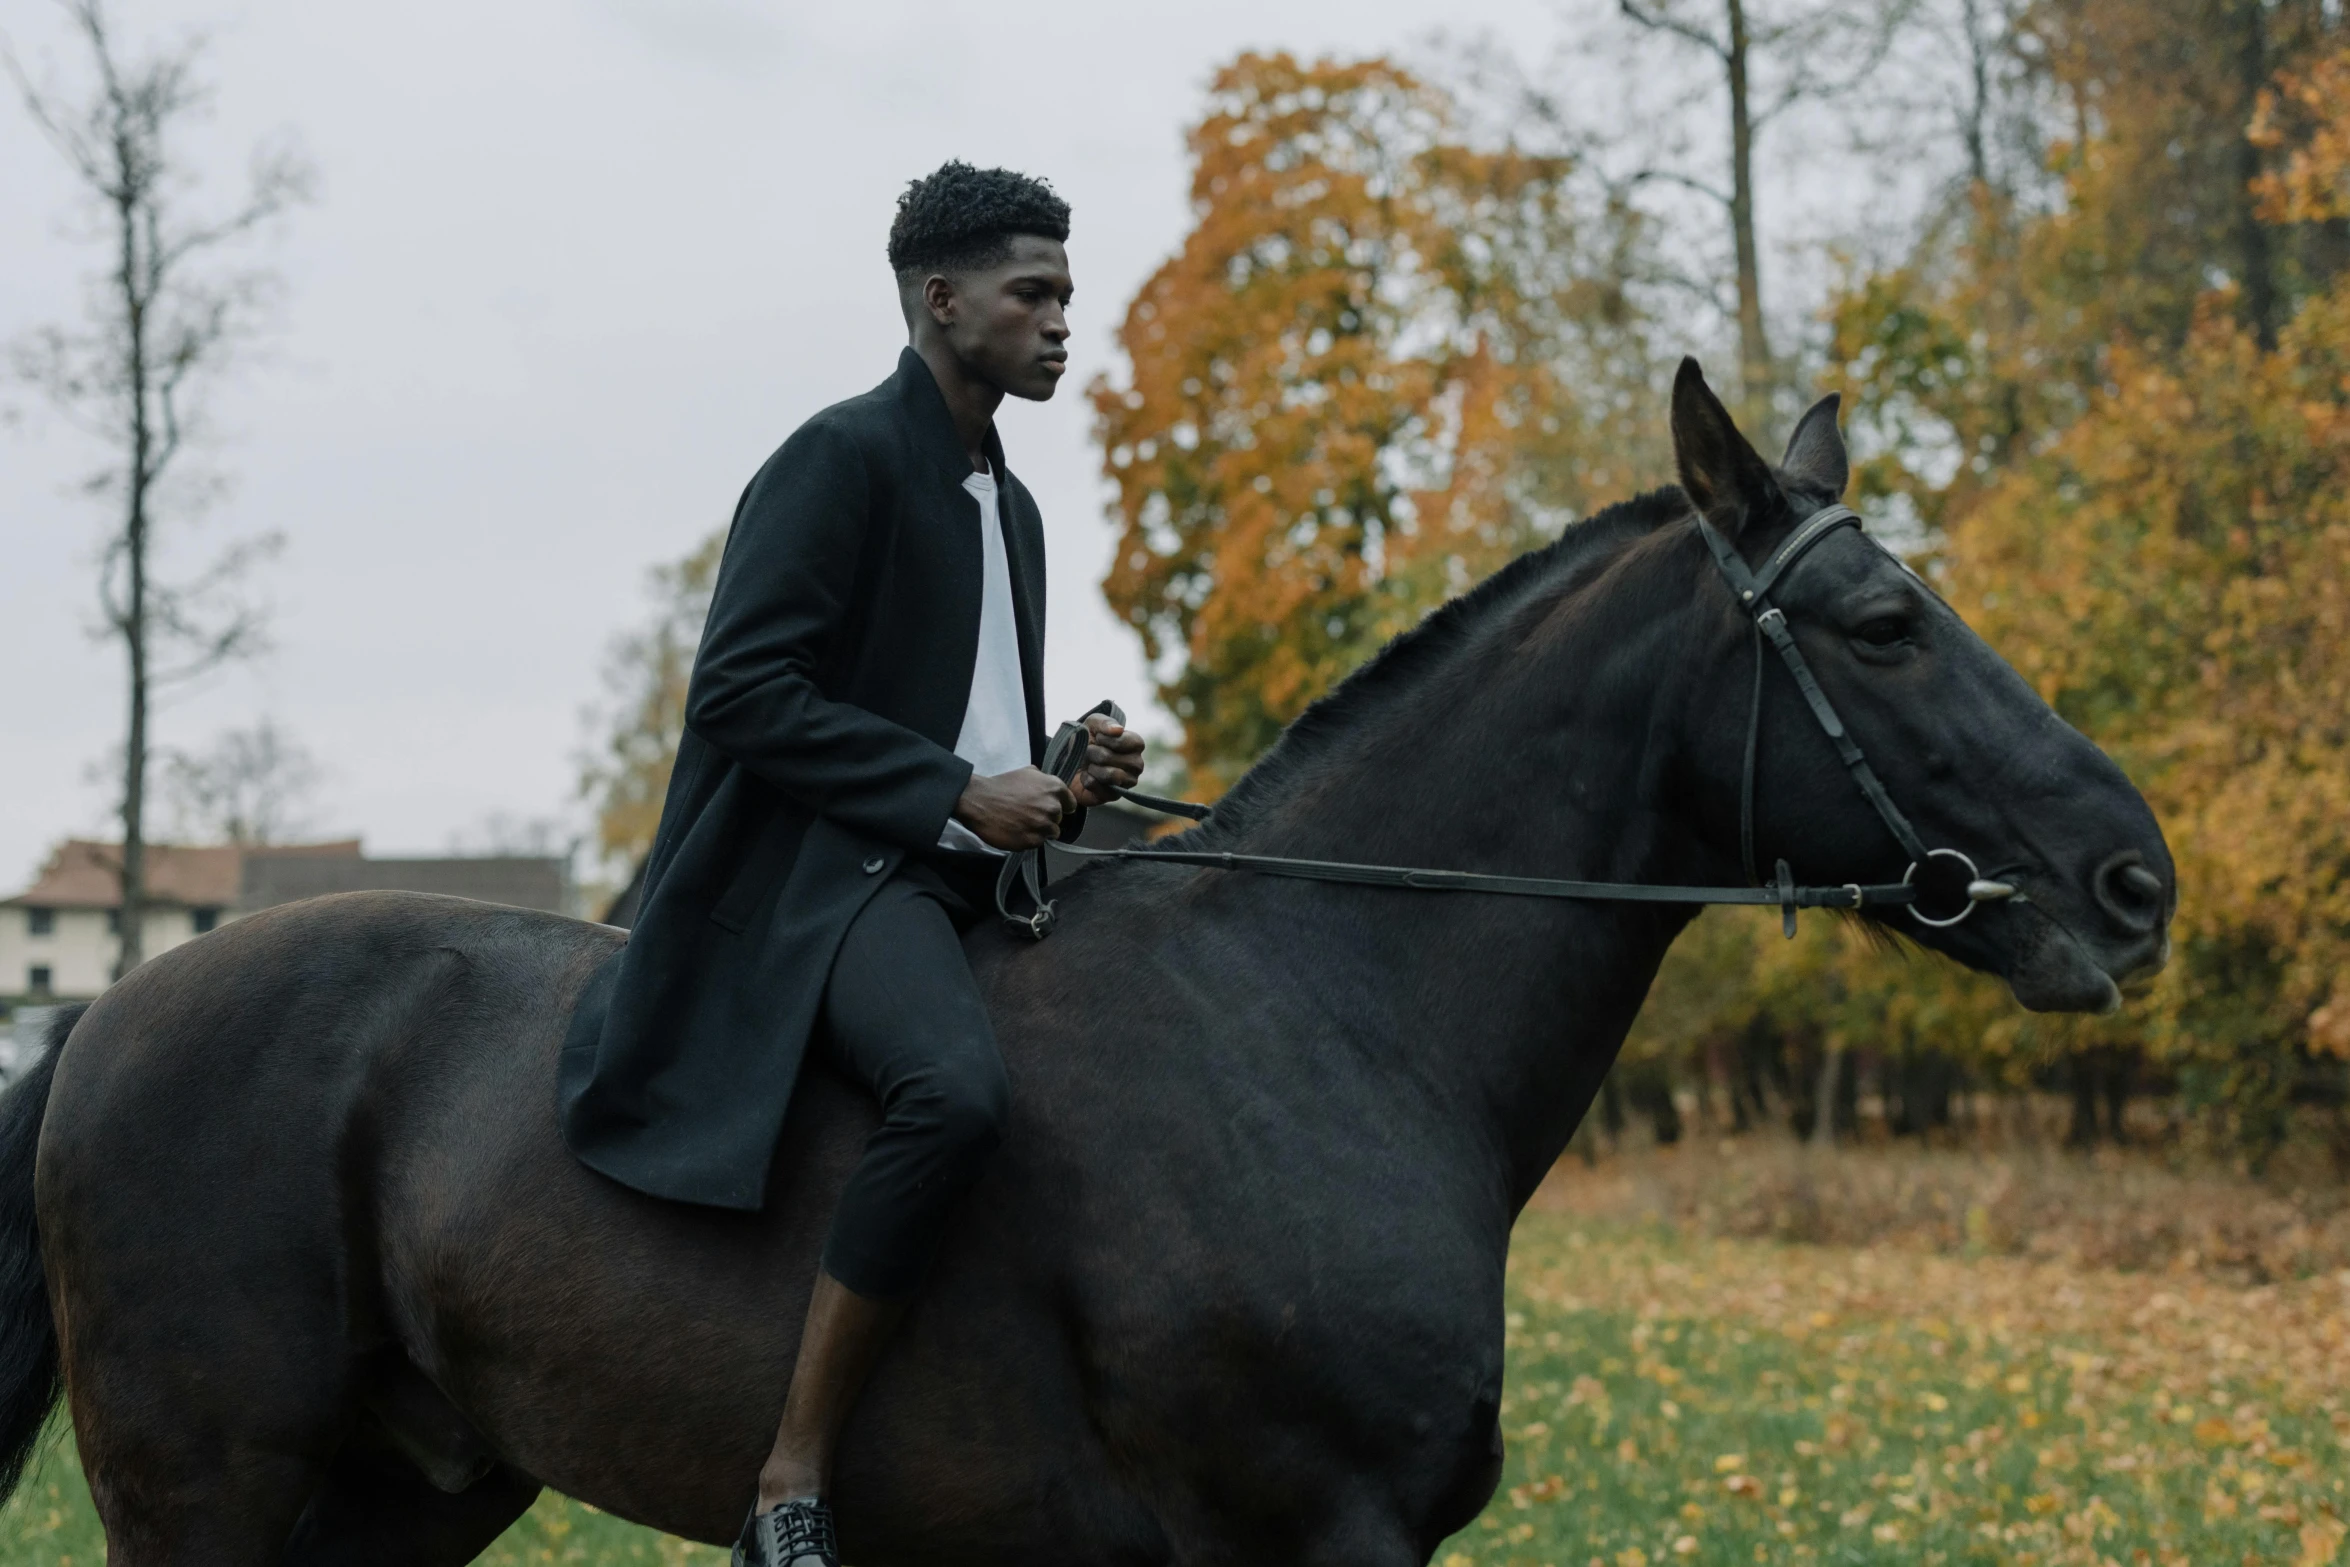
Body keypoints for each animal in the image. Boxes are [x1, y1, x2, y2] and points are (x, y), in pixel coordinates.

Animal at [0, 371, 2162, 1567]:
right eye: (1884, 627)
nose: (2132, 880)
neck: (1334, 1006)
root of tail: (101, 1015)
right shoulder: (1314, 1527)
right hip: (204, 1487)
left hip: (414, 1483)